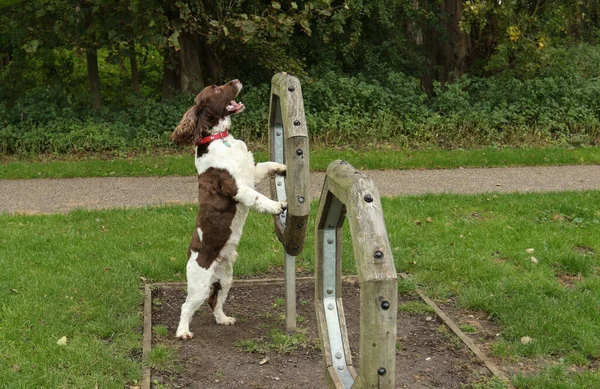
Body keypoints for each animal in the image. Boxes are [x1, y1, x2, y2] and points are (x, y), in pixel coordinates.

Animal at [171, 80, 286, 338]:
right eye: (215, 88)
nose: (236, 81)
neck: (220, 138)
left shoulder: (251, 173)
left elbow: (265, 166)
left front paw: (281, 166)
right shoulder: (236, 187)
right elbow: (258, 198)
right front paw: (277, 205)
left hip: (226, 277)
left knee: (215, 301)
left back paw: (224, 319)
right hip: (200, 282)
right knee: (186, 305)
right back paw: (183, 332)